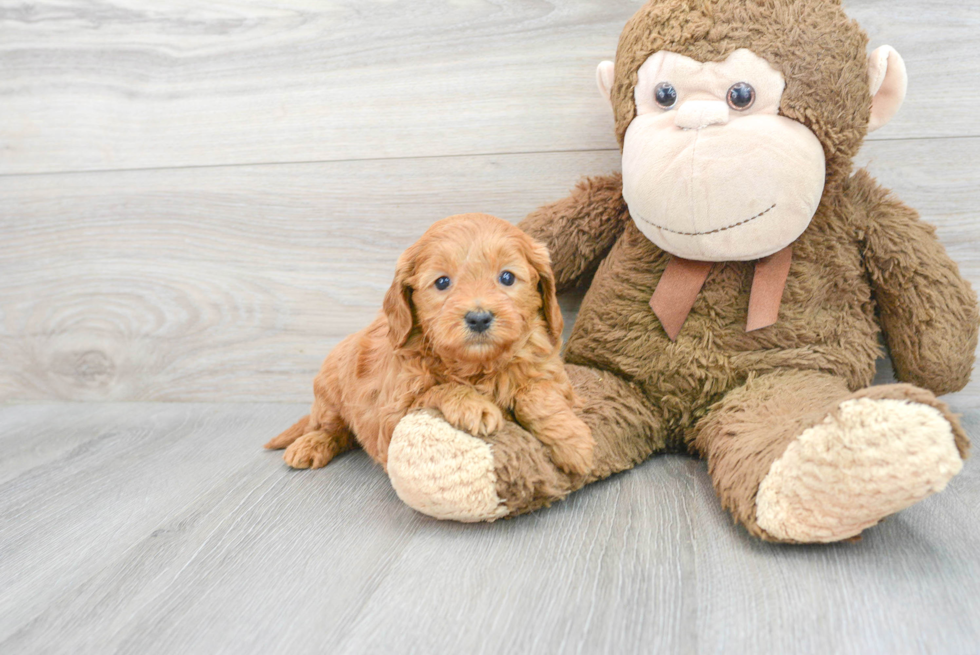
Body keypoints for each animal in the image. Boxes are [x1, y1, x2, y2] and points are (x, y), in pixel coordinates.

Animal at [264, 215, 592, 476]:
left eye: (507, 277)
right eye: (442, 282)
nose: (479, 318)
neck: (478, 366)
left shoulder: (548, 371)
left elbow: (537, 394)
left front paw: (573, 442)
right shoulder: (392, 414)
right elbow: (439, 389)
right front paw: (475, 406)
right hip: (330, 394)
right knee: (332, 428)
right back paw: (310, 444)